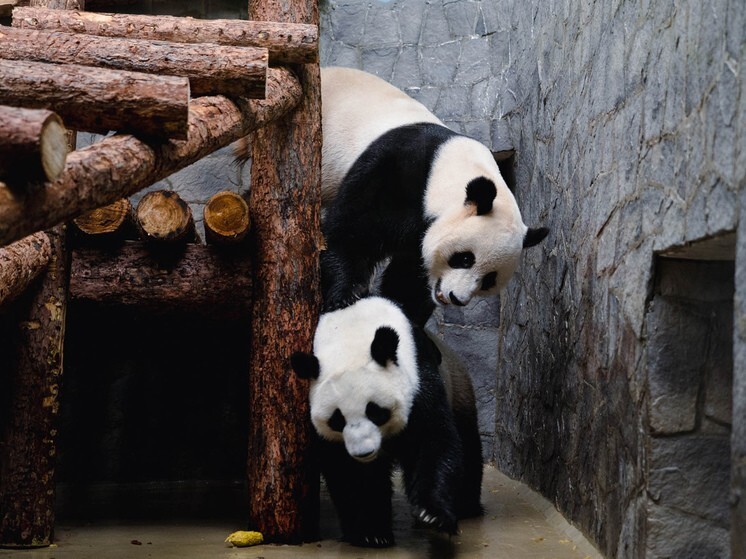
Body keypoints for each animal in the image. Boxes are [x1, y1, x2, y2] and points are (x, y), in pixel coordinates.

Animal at [288, 296, 480, 548]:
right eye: (337, 420)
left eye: (375, 411)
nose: (364, 452)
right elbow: (346, 468)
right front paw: (370, 532)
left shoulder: (418, 379)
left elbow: (433, 441)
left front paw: (433, 515)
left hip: (458, 389)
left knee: (468, 443)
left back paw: (466, 507)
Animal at [318, 67, 548, 326]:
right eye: (465, 259)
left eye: (489, 279)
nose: (456, 298)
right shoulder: (396, 171)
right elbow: (351, 231)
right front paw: (344, 295)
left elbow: (409, 274)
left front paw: (404, 311)